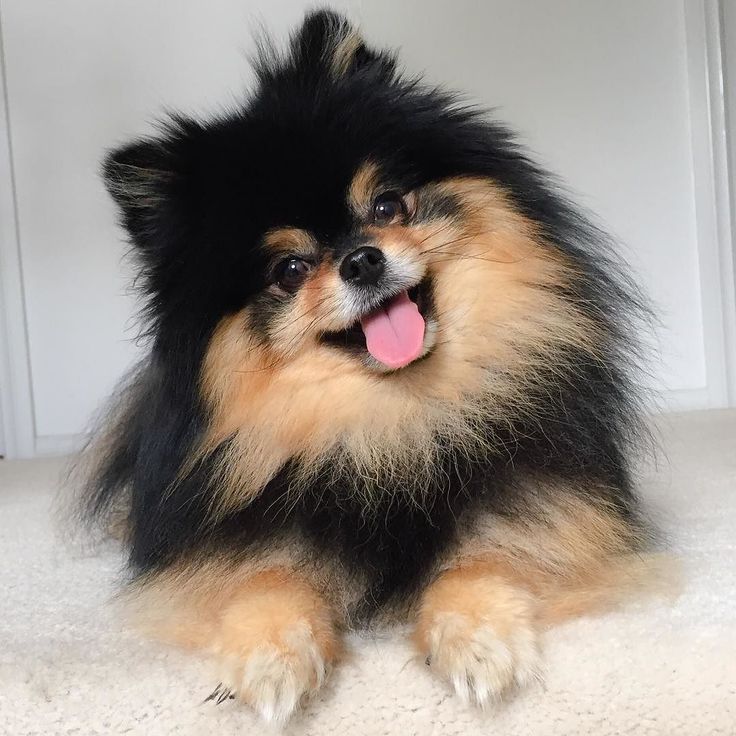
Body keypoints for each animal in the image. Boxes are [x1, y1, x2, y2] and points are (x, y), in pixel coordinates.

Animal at [82, 8, 660, 728]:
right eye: (289, 269)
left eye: (387, 206)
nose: (361, 259)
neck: (389, 427)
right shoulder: (226, 551)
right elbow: (264, 579)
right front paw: (270, 660)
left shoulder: (548, 514)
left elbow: (488, 558)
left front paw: (479, 641)